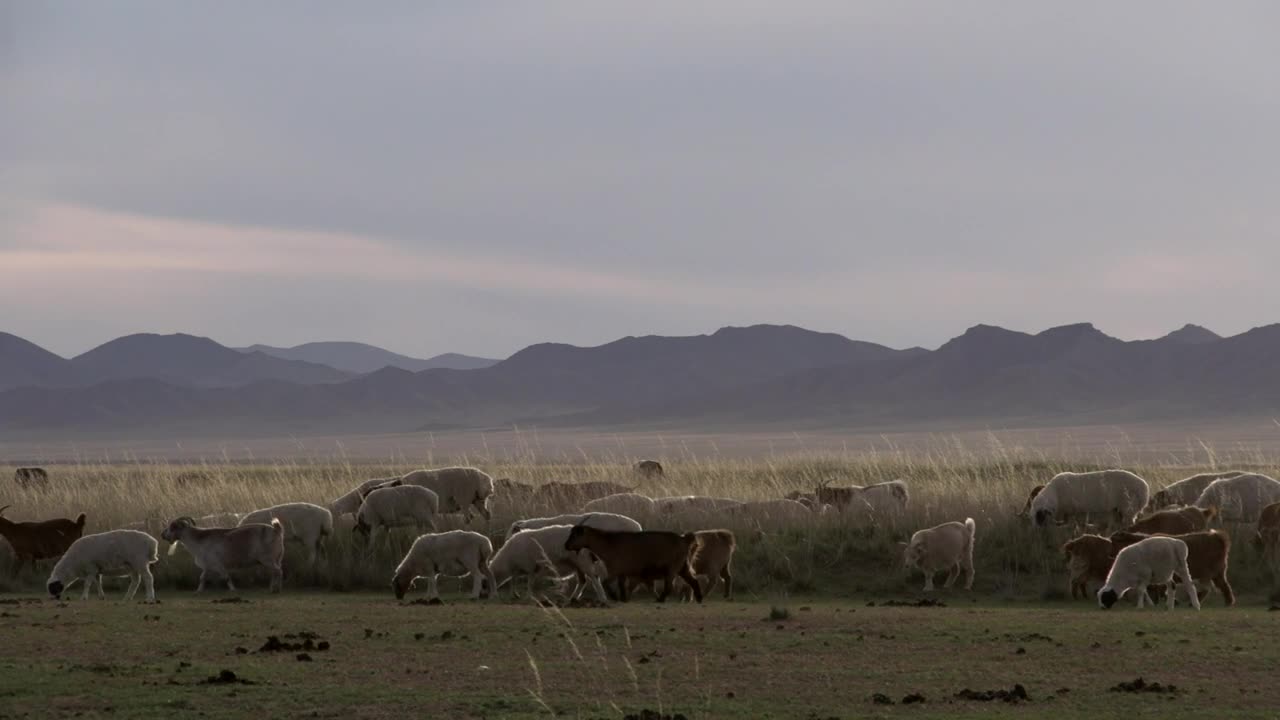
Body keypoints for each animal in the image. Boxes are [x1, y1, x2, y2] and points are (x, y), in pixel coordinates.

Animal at [563, 525, 702, 603]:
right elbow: (621, 586)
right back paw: (699, 599)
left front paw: (615, 597)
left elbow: (605, 583)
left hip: (671, 569)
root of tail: (684, 539)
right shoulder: (622, 573)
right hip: (682, 567)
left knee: (669, 587)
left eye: (575, 535)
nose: (566, 545)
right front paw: (623, 598)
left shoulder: (615, 570)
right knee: (694, 581)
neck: (608, 543)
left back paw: (661, 600)